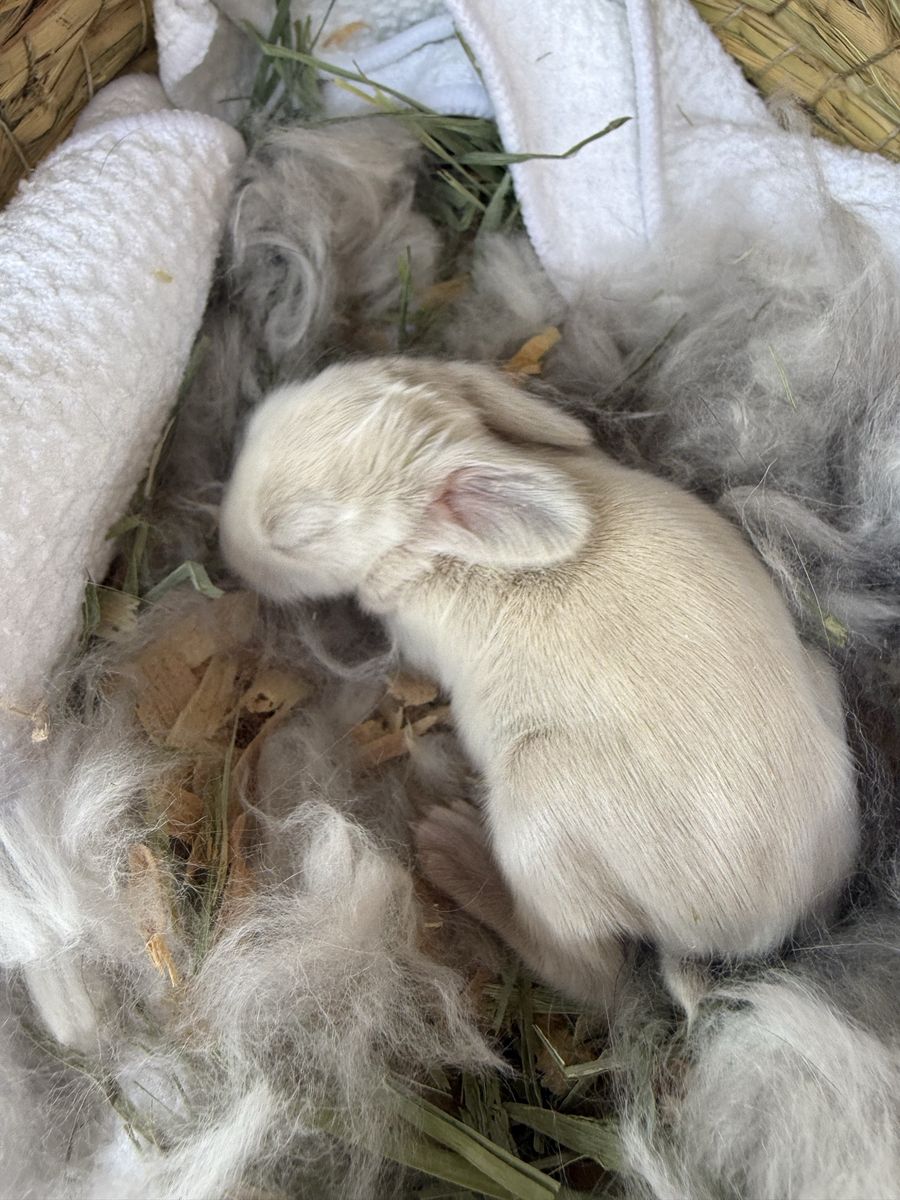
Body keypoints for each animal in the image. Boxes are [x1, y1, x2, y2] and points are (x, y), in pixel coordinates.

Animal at [219, 356, 859, 1011]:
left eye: (296, 534)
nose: (225, 548)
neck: (445, 550)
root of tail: (751, 931)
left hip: (538, 814)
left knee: (592, 972)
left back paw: (453, 849)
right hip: (819, 677)